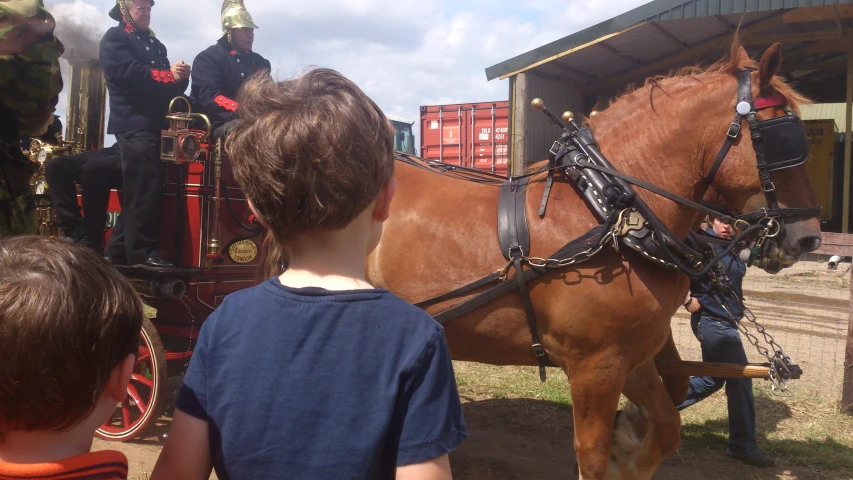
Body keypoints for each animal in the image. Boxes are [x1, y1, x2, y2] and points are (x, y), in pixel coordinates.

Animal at [364, 43, 820, 478]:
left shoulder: (631, 355)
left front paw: (628, 444)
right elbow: (592, 454)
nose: (810, 237)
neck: (611, 211)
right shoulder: (596, 365)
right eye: (784, 136)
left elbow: (666, 425)